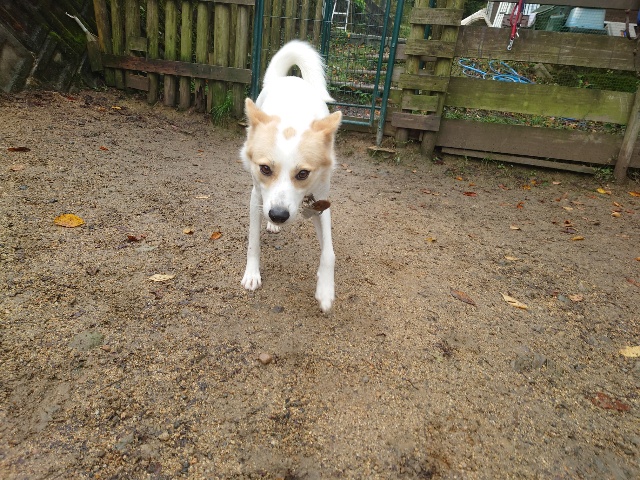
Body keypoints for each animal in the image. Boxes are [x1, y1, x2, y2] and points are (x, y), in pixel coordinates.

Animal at [240, 40, 342, 313]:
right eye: (265, 169)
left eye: (303, 173)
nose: (278, 215)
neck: (294, 117)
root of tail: (289, 78)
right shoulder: (256, 196)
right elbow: (253, 241)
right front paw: (251, 274)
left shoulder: (321, 203)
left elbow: (329, 252)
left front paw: (325, 290)